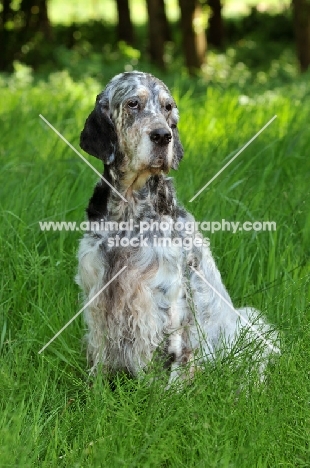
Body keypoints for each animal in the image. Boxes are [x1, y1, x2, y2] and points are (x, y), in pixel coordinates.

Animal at [75, 70, 278, 384]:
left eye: (168, 107)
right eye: (133, 103)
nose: (162, 135)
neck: (129, 213)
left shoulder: (164, 296)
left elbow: (169, 357)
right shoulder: (96, 289)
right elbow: (99, 356)